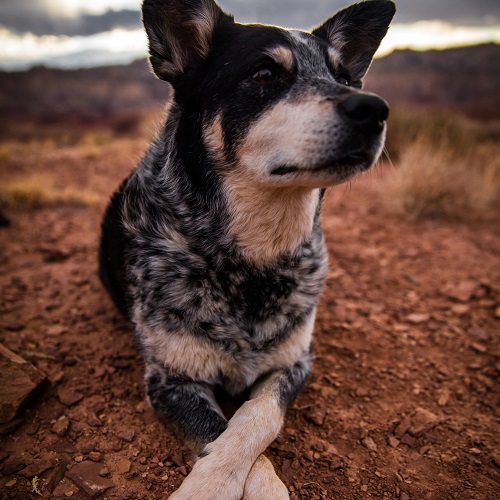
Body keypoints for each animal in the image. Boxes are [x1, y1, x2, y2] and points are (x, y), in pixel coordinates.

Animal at [97, 1, 394, 498]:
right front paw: (209, 485)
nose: (375, 108)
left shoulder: (295, 362)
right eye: (264, 75)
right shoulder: (170, 379)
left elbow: (259, 417)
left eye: (345, 78)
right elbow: (218, 431)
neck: (250, 260)